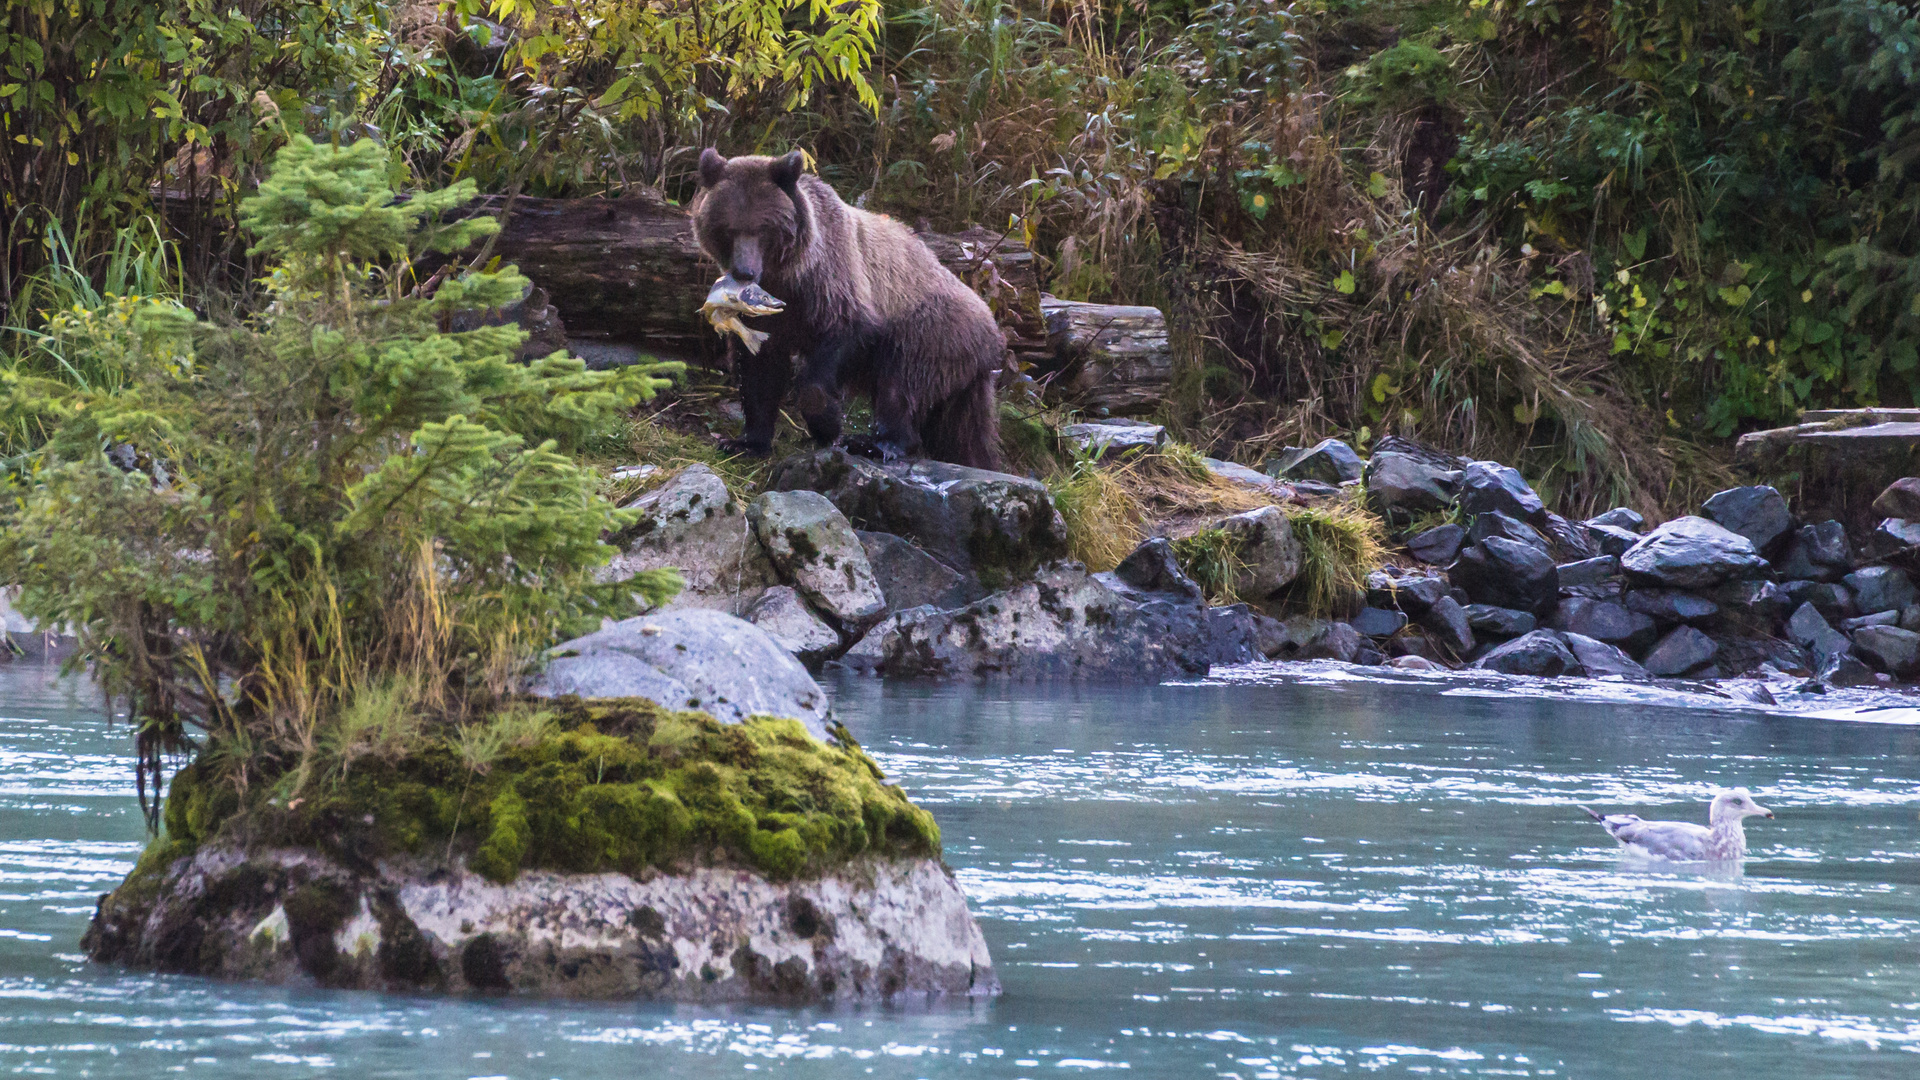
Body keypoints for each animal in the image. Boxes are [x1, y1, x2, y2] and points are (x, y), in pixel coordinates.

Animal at [691, 147, 1006, 466]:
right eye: (727, 229)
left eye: (763, 229)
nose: (744, 272)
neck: (789, 275)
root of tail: (992, 327)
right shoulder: (766, 316)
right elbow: (758, 369)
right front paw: (745, 442)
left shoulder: (833, 283)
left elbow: (843, 337)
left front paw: (828, 424)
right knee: (961, 434)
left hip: (932, 330)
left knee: (901, 384)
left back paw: (879, 443)